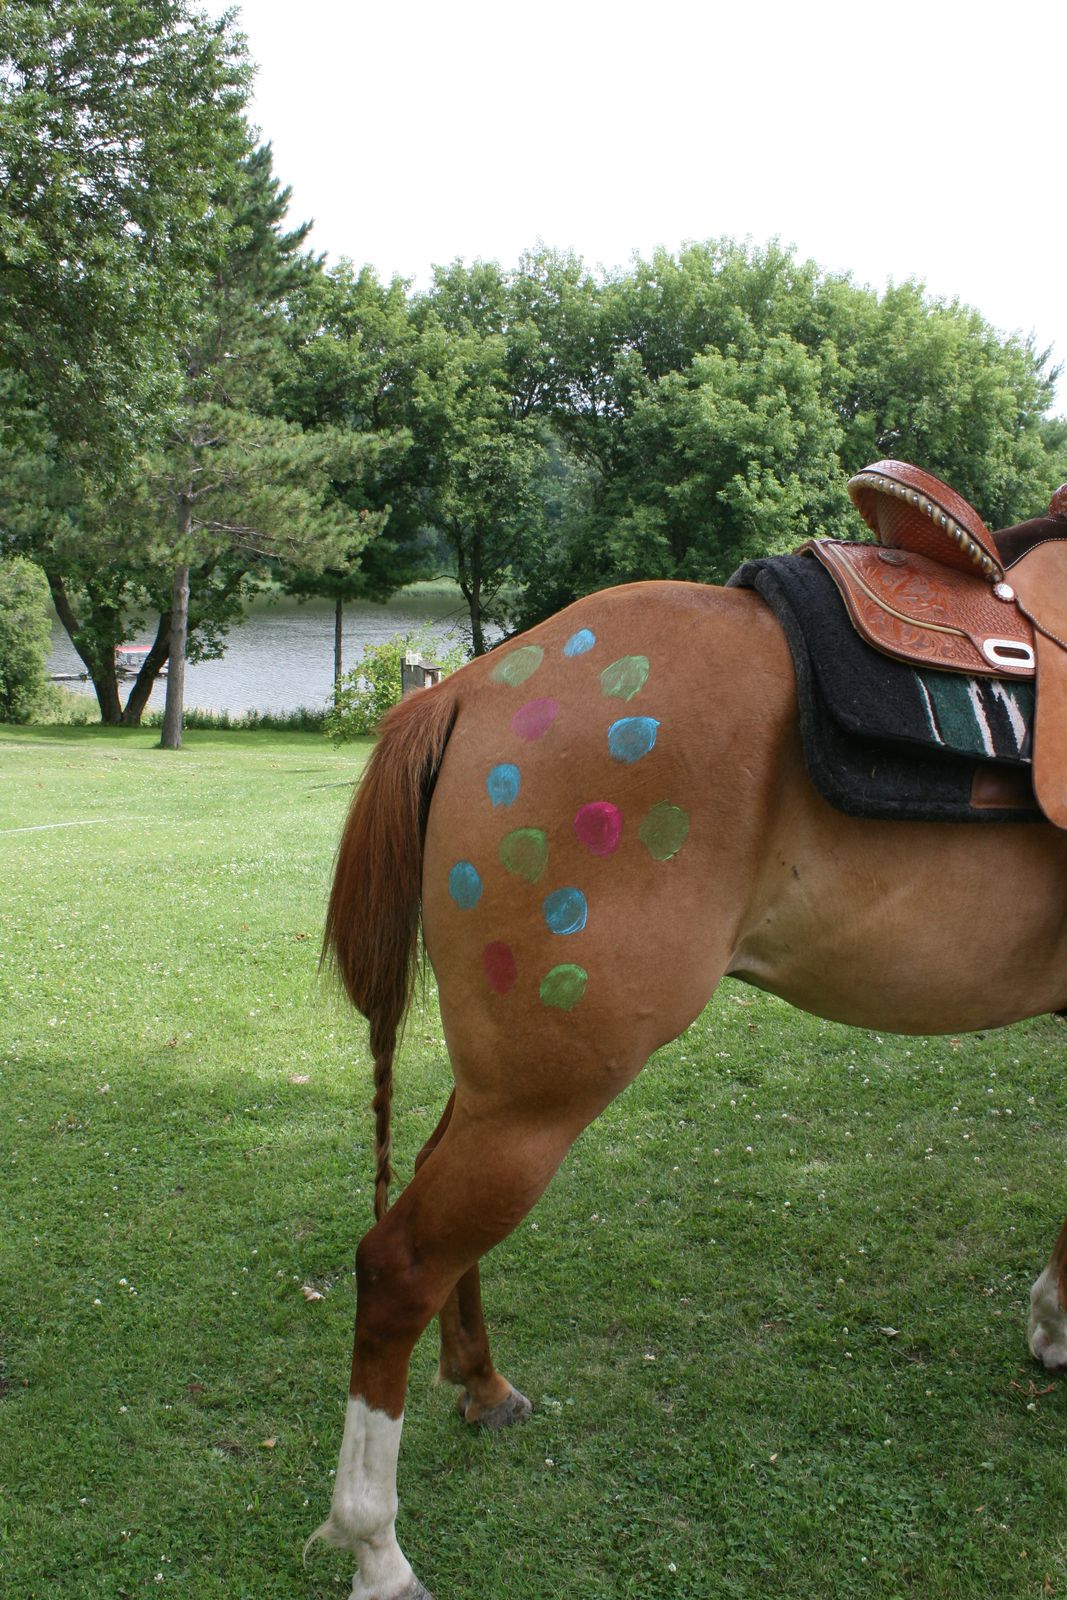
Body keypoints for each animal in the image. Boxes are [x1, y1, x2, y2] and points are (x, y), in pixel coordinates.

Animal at [309, 577, 1067, 1600]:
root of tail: (462, 690)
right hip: (540, 1100)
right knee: (398, 1265)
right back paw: (377, 1550)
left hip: (503, 1088)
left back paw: (482, 1385)